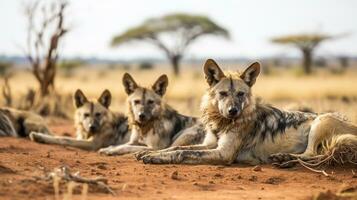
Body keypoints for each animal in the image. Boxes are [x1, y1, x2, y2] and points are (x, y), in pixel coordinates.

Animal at [136, 58, 356, 165]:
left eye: (241, 94)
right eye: (223, 94)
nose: (233, 111)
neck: (220, 123)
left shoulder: (223, 153)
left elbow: (181, 153)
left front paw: (154, 158)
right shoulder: (209, 144)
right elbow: (175, 148)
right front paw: (151, 153)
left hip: (321, 121)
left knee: (313, 154)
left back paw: (285, 159)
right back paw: (284, 159)